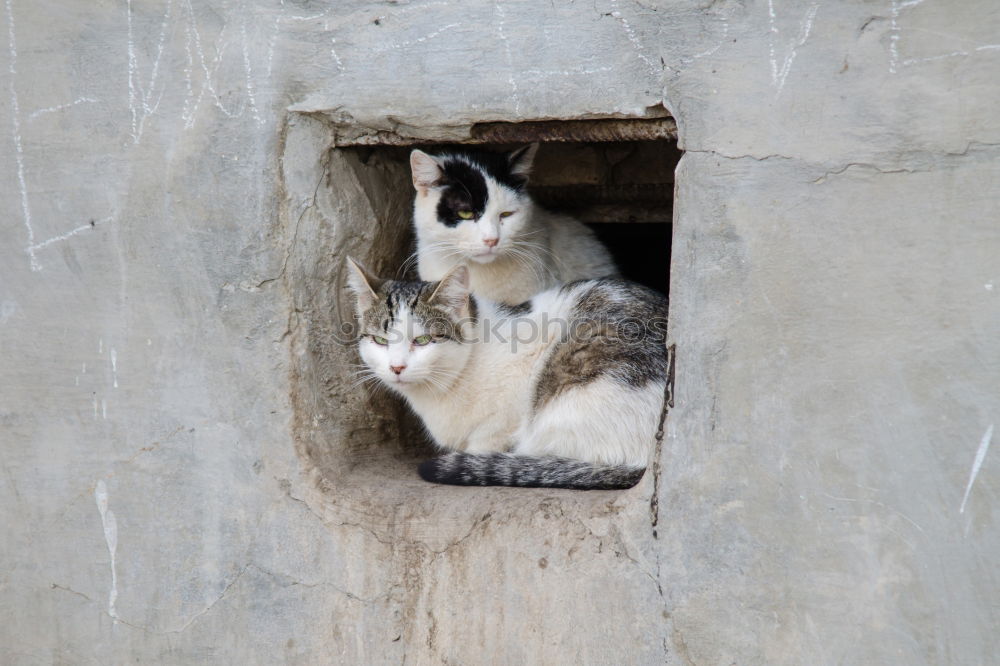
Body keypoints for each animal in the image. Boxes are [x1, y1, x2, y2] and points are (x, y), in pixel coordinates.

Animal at [348, 256, 668, 490]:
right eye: (380, 340)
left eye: (423, 340)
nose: (397, 367)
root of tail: (647, 463)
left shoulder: (503, 419)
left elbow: (486, 442)